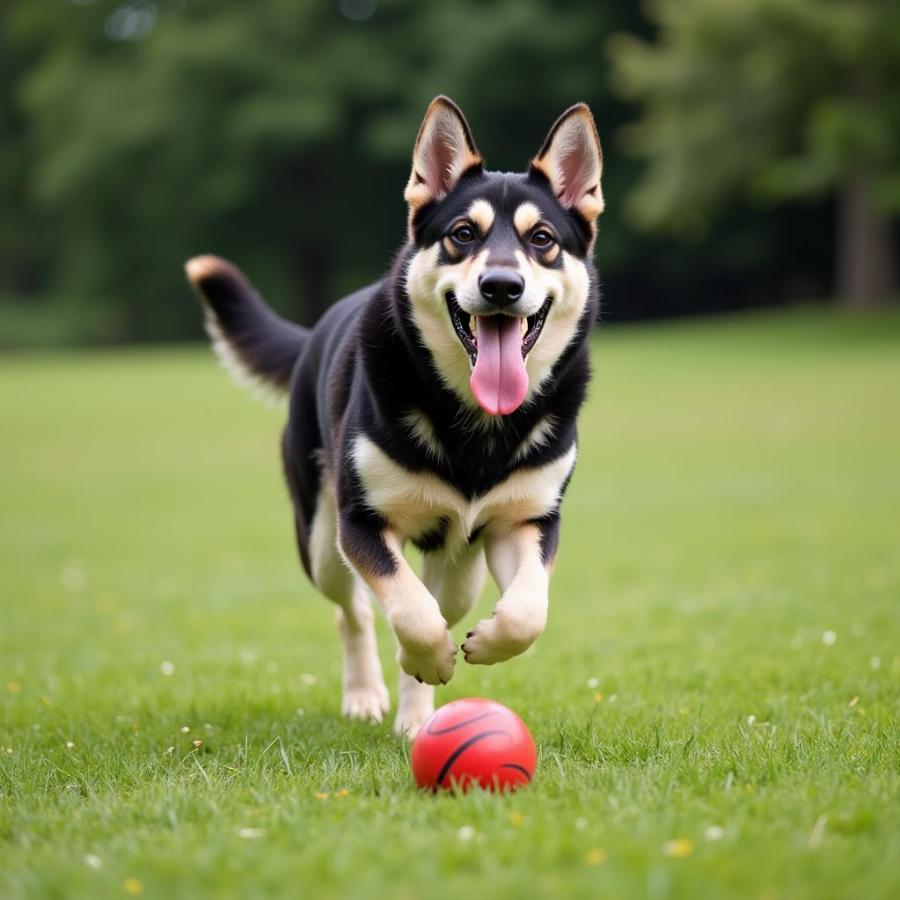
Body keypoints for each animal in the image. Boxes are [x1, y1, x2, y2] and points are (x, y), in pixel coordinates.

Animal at [185, 95, 600, 736]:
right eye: (462, 234)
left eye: (542, 238)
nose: (501, 285)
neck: (475, 422)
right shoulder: (362, 523)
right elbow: (409, 611)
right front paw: (422, 659)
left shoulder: (528, 521)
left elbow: (527, 611)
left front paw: (484, 644)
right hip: (320, 540)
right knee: (355, 612)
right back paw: (368, 697)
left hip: (460, 561)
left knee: (444, 601)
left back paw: (413, 715)